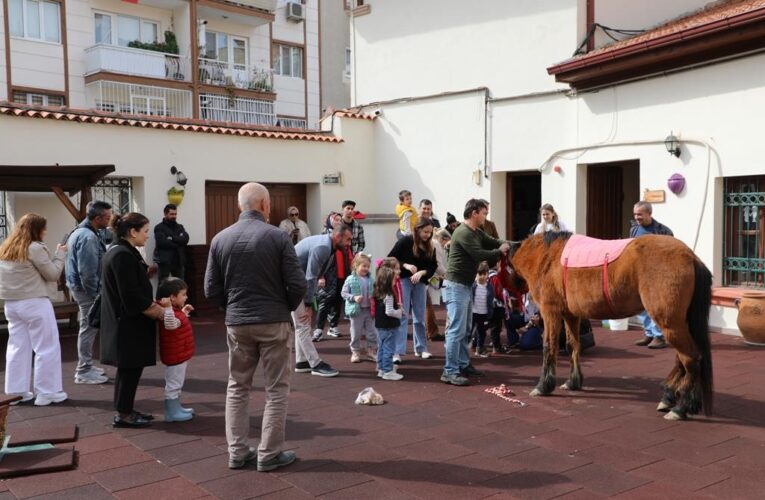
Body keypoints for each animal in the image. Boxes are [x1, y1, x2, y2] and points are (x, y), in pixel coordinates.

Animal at [508, 232, 712, 420]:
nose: (513, 307)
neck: (547, 256)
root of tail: (690, 256)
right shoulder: (570, 315)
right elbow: (573, 346)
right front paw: (573, 382)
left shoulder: (550, 312)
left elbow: (548, 347)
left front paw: (543, 386)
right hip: (679, 323)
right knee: (683, 359)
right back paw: (670, 396)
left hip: (670, 324)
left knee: (690, 358)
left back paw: (681, 407)